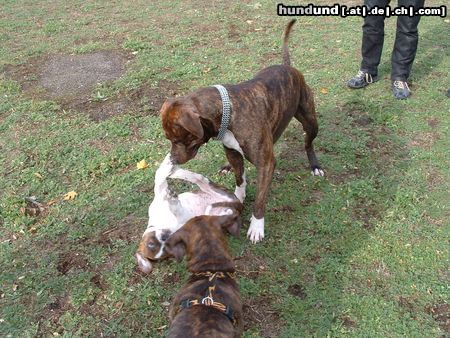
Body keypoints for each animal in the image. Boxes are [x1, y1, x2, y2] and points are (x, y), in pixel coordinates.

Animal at [160, 19, 322, 243]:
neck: (227, 111)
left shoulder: (265, 164)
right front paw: (236, 196)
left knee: (308, 142)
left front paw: (257, 225)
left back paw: (315, 165)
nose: (172, 160)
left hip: (310, 120)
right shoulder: (232, 152)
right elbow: (240, 178)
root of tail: (289, 67)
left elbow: (260, 199)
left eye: (177, 140)